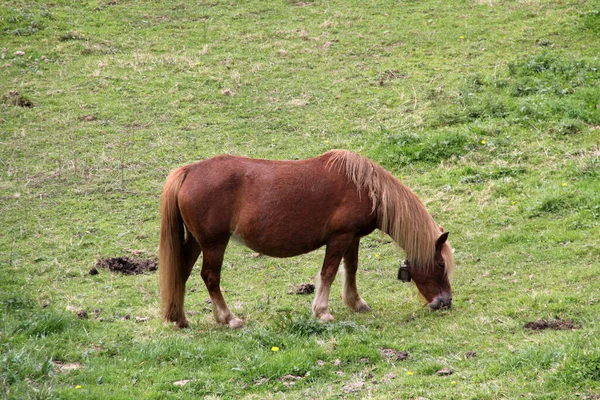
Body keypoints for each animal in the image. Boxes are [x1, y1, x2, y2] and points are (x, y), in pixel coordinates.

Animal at [159, 150, 454, 328]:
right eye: (440, 265)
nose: (446, 302)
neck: (364, 187)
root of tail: (190, 171)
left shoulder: (352, 238)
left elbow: (351, 269)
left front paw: (356, 303)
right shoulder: (339, 238)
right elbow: (329, 273)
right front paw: (322, 312)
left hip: (195, 242)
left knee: (181, 273)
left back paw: (181, 319)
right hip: (213, 244)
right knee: (210, 278)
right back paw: (229, 318)